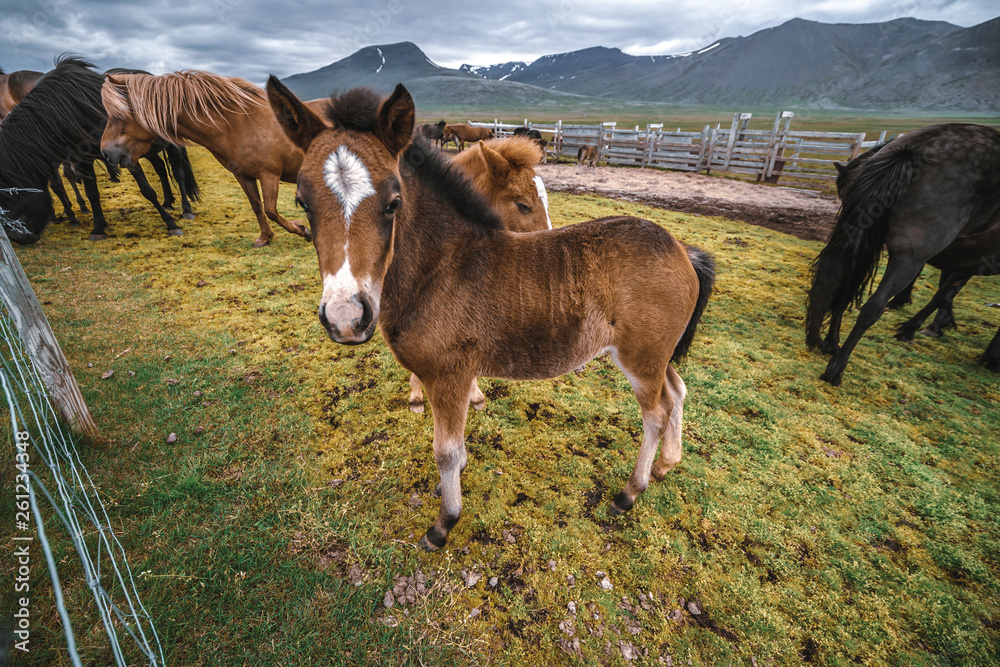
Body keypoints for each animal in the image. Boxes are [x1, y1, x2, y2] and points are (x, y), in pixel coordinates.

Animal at [0, 54, 190, 243]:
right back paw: (168, 202)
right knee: (160, 168)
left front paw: (171, 225)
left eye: (7, 197)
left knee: (178, 172)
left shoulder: (124, 155)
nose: (17, 238)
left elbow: (147, 191)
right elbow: (92, 193)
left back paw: (186, 209)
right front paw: (98, 228)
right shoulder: (82, 161)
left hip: (172, 145)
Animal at [266, 78, 720, 552]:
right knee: (677, 389)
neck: (441, 266)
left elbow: (445, 451)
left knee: (656, 414)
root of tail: (683, 250)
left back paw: (629, 492)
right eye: (302, 201)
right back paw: (667, 464)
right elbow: (457, 443)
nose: (346, 317)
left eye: (393, 202)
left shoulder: (448, 375)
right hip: (656, 354)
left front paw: (443, 524)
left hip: (640, 358)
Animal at [804, 122, 1000, 384]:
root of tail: (915, 148)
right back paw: (836, 368)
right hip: (910, 256)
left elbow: (945, 291)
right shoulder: (972, 259)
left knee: (845, 288)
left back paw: (831, 344)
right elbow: (944, 293)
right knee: (873, 307)